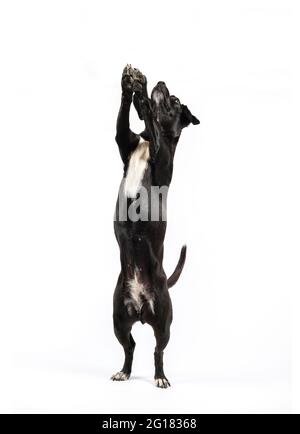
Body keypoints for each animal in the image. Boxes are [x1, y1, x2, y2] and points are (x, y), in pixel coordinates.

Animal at [111, 66, 198, 388]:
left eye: (174, 100)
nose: (161, 82)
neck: (147, 141)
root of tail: (140, 306)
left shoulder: (161, 152)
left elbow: (151, 121)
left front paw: (143, 96)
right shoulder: (123, 138)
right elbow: (123, 117)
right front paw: (130, 87)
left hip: (163, 323)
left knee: (158, 351)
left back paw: (160, 377)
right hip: (118, 320)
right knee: (131, 346)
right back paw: (124, 371)